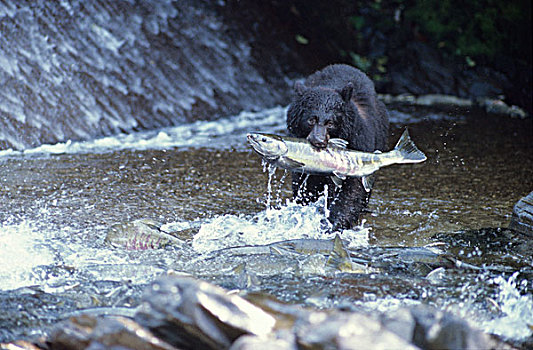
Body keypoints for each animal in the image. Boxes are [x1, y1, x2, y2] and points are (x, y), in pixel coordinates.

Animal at [286, 64, 386, 231]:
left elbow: (353, 187)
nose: (318, 141)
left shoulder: (358, 142)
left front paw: (335, 221)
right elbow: (304, 185)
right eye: (311, 120)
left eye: (330, 123)